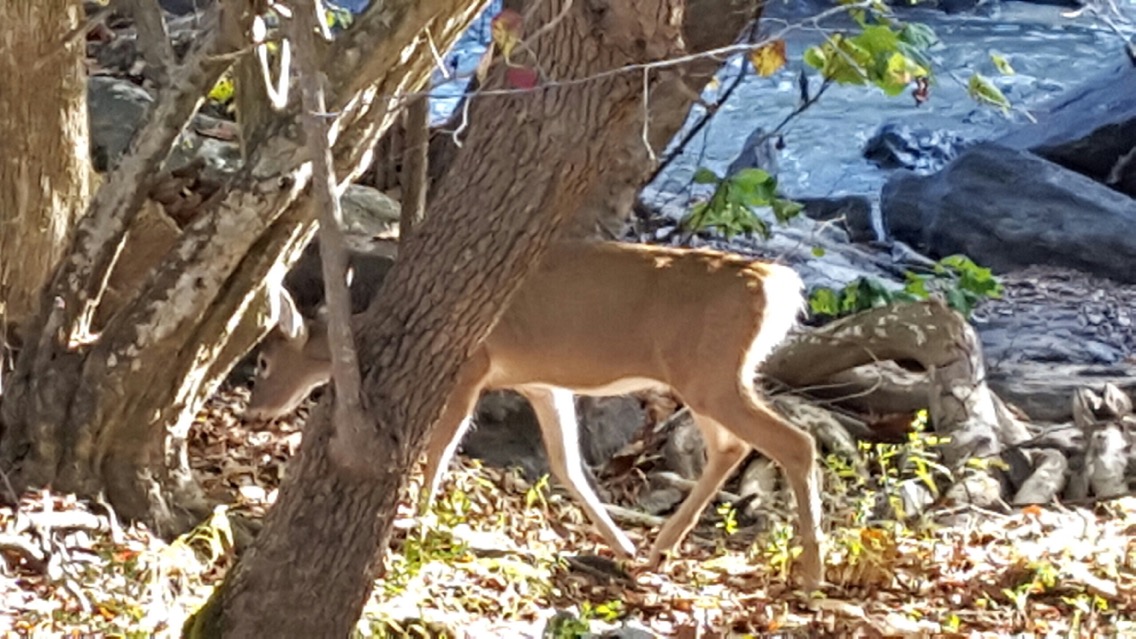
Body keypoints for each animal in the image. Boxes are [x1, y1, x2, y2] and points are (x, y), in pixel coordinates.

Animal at [244, 239, 822, 586]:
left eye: (265, 361)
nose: (254, 412)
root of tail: (777, 285)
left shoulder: (472, 364)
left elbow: (442, 442)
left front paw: (421, 516)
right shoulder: (542, 384)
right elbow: (567, 465)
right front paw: (618, 544)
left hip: (710, 373)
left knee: (795, 443)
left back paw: (812, 574)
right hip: (707, 377)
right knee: (732, 446)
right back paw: (657, 548)